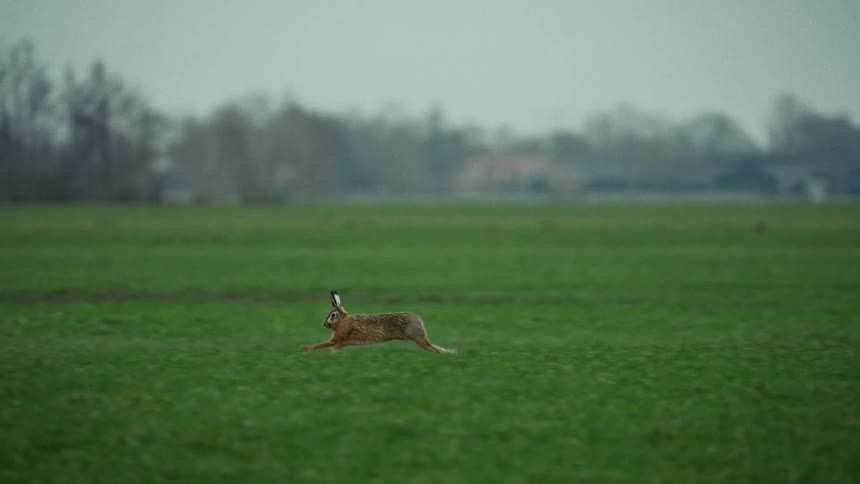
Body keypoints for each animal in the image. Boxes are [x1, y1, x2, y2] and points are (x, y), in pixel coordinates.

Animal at [300, 291, 455, 353]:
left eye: (333, 315)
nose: (324, 324)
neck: (343, 320)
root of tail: (419, 320)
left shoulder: (338, 339)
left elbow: (322, 344)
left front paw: (305, 348)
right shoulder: (339, 342)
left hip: (417, 338)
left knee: (433, 349)